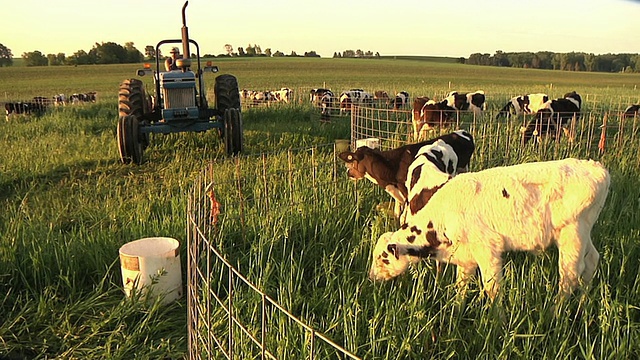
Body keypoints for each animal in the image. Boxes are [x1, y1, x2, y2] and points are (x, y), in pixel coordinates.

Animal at [368, 159, 608, 302]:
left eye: (383, 258)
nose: (371, 277)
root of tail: (595, 167)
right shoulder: (465, 257)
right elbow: (461, 285)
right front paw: (457, 310)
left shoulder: (488, 249)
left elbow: (492, 288)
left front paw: (496, 323)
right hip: (583, 233)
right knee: (592, 261)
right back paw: (583, 303)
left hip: (572, 234)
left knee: (570, 276)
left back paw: (555, 315)